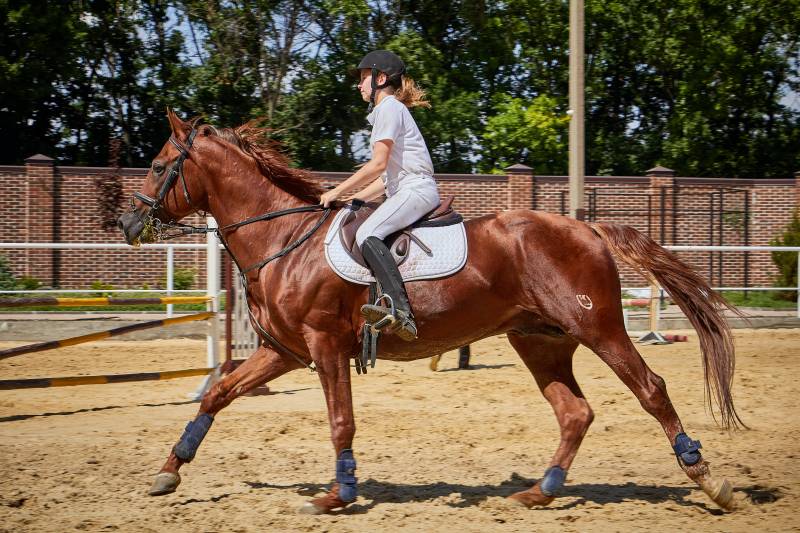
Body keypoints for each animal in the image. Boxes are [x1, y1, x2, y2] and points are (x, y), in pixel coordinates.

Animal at [117, 110, 744, 512]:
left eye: (158, 166)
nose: (127, 223)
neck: (283, 239)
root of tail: (585, 227)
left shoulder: (324, 347)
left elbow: (340, 420)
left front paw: (337, 495)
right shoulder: (285, 352)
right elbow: (219, 393)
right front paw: (170, 470)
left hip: (598, 327)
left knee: (651, 390)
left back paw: (707, 480)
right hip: (540, 340)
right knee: (574, 413)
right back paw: (540, 490)